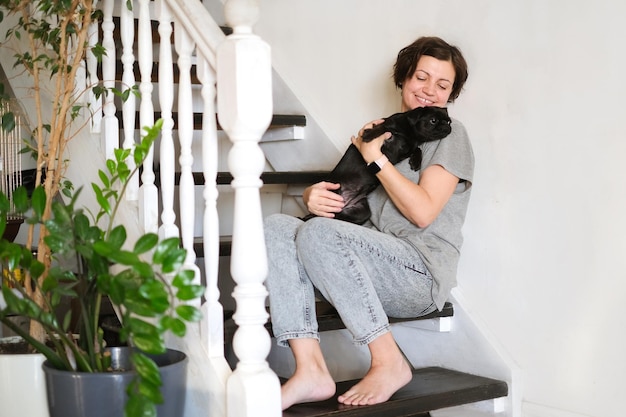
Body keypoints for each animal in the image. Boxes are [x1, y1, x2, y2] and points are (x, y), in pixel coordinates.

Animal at [302, 106, 448, 224]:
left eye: (448, 121)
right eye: (433, 120)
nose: (447, 126)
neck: (411, 134)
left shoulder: (405, 151)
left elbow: (417, 149)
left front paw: (416, 161)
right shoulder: (386, 125)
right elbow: (381, 128)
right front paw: (368, 135)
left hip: (361, 213)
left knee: (334, 216)